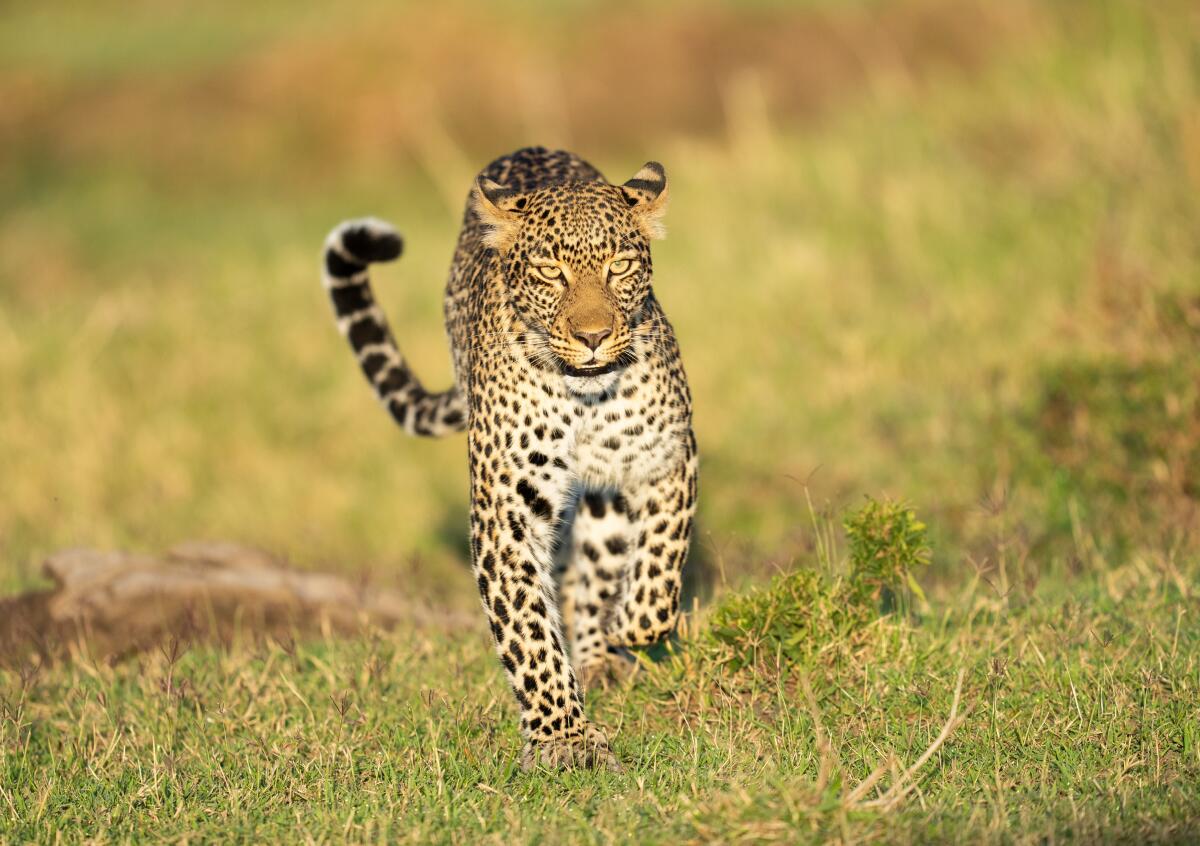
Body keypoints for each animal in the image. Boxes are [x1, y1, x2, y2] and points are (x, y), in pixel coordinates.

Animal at [319, 147, 700, 772]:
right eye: (550, 272)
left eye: (619, 266)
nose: (593, 336)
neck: (583, 397)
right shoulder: (507, 509)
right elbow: (527, 628)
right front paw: (564, 739)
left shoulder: (665, 459)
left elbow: (660, 570)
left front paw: (628, 624)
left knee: (596, 566)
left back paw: (600, 654)